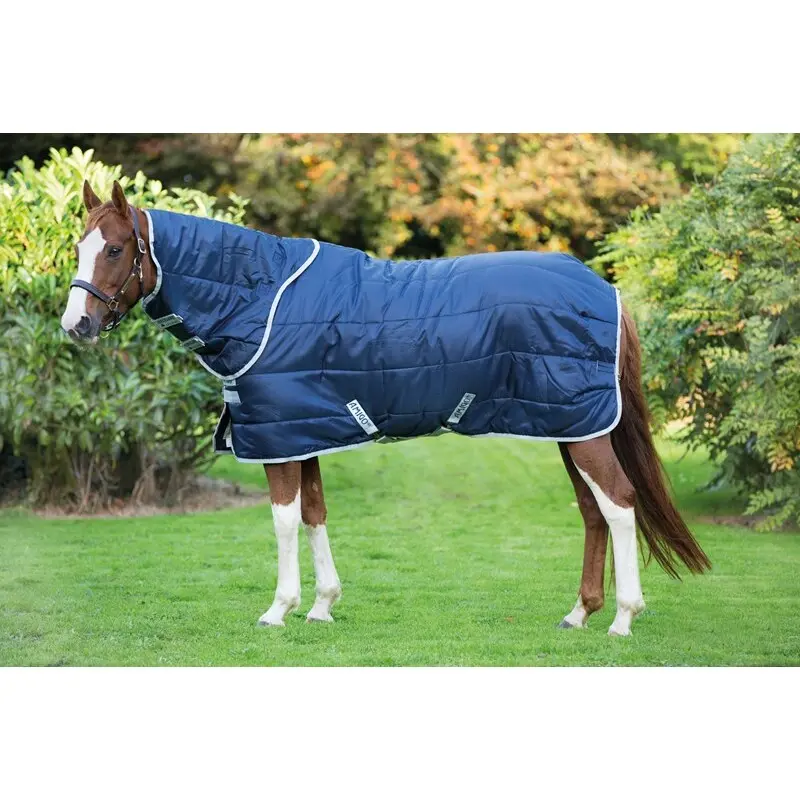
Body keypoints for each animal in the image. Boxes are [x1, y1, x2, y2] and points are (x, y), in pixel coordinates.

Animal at [60, 180, 711, 636]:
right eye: (78, 248)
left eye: (114, 249)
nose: (75, 325)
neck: (258, 297)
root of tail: (605, 289)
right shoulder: (305, 432)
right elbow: (315, 513)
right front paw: (322, 607)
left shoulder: (278, 437)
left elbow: (284, 520)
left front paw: (279, 609)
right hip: (566, 426)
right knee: (594, 511)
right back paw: (579, 614)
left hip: (584, 433)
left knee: (619, 504)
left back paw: (623, 618)